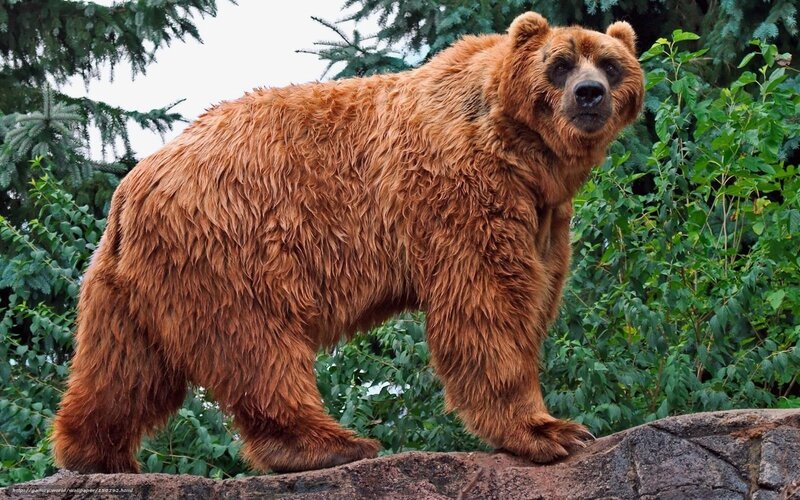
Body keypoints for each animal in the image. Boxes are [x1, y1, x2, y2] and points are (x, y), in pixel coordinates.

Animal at [52, 11, 644, 474]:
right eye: (559, 64)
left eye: (611, 64)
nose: (589, 94)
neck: (522, 152)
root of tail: (132, 188)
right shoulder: (461, 190)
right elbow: (487, 304)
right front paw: (552, 431)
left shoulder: (544, 212)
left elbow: (536, 289)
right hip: (232, 239)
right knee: (257, 343)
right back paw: (330, 444)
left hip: (133, 282)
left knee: (125, 366)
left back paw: (95, 453)